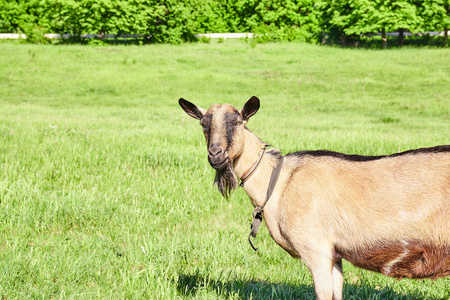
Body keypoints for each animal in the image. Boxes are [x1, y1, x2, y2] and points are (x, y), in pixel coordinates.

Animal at [178, 96, 450, 300]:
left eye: (237, 121)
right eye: (203, 124)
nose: (216, 154)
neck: (279, 182)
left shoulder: (316, 249)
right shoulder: (335, 253)